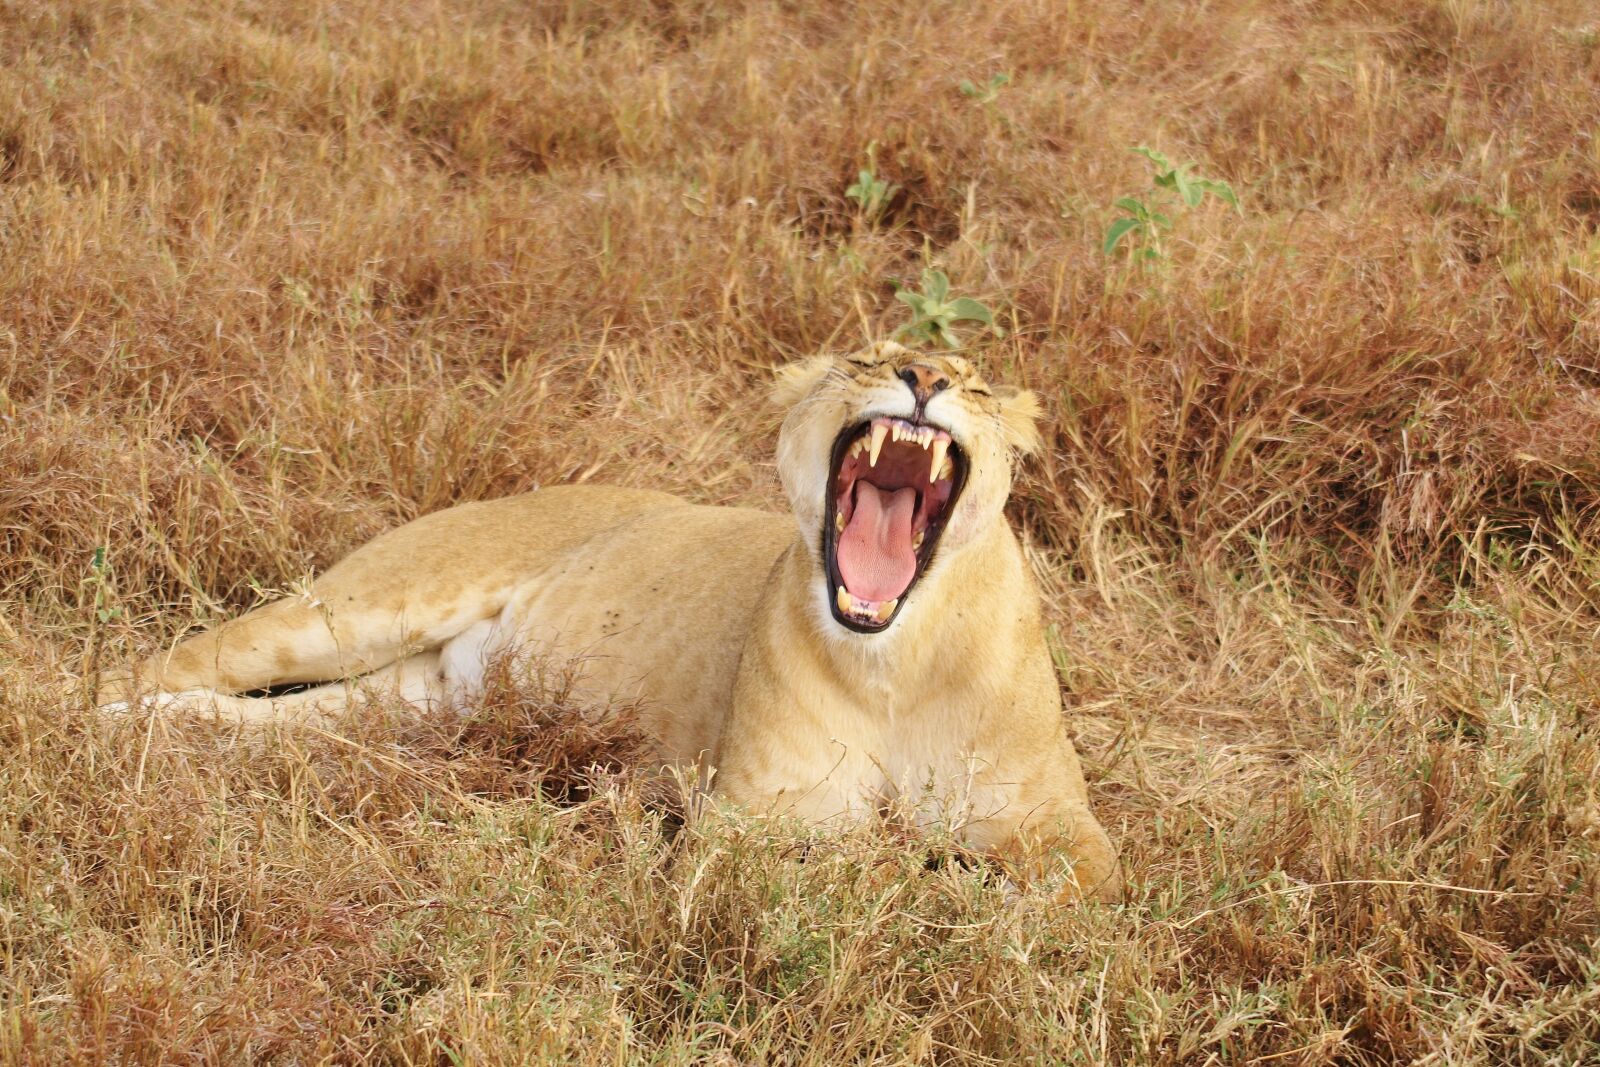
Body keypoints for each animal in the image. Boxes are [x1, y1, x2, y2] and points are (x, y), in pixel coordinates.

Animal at [100, 340, 1122, 901]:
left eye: (976, 385)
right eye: (867, 356)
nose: (921, 377)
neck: (893, 659)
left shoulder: (1062, 822)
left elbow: (1072, 877)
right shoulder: (742, 823)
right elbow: (851, 862)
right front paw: (925, 873)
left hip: (405, 708)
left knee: (267, 723)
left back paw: (162, 735)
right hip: (354, 609)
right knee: (161, 663)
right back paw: (96, 727)